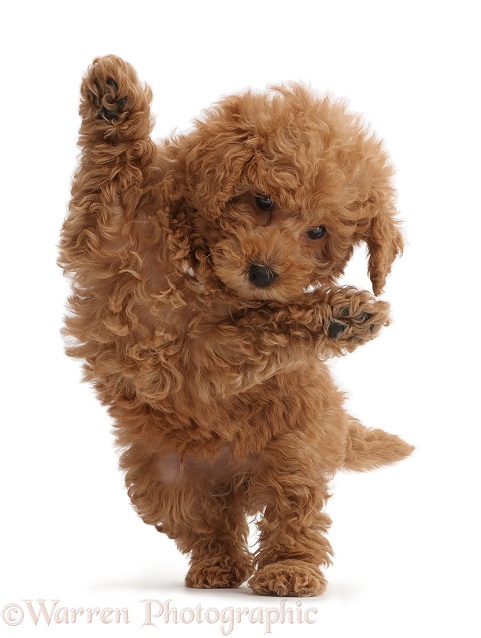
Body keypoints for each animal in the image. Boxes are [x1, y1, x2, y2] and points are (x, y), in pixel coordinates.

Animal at [59, 56, 412, 600]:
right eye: (262, 201)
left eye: (317, 232)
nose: (263, 273)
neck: (201, 268)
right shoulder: (113, 237)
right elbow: (112, 169)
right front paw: (112, 96)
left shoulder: (208, 357)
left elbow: (266, 329)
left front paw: (343, 315)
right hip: (162, 484)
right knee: (211, 524)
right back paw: (217, 567)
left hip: (296, 452)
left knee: (295, 517)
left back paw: (288, 572)